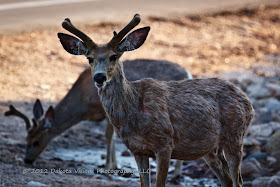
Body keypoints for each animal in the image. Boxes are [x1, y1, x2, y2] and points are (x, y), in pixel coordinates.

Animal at [5, 60, 191, 174]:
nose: (27, 160)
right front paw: (114, 165)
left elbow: (108, 137)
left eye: (36, 141)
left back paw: (177, 173)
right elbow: (113, 138)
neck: (83, 104)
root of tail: (188, 73)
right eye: (26, 140)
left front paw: (107, 167)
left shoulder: (109, 111)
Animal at [58, 13, 255, 187]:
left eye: (113, 56)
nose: (99, 77)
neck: (134, 109)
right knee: (227, 180)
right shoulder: (137, 150)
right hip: (210, 148)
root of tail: (247, 100)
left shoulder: (165, 143)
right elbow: (144, 184)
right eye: (89, 59)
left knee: (238, 180)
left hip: (235, 134)